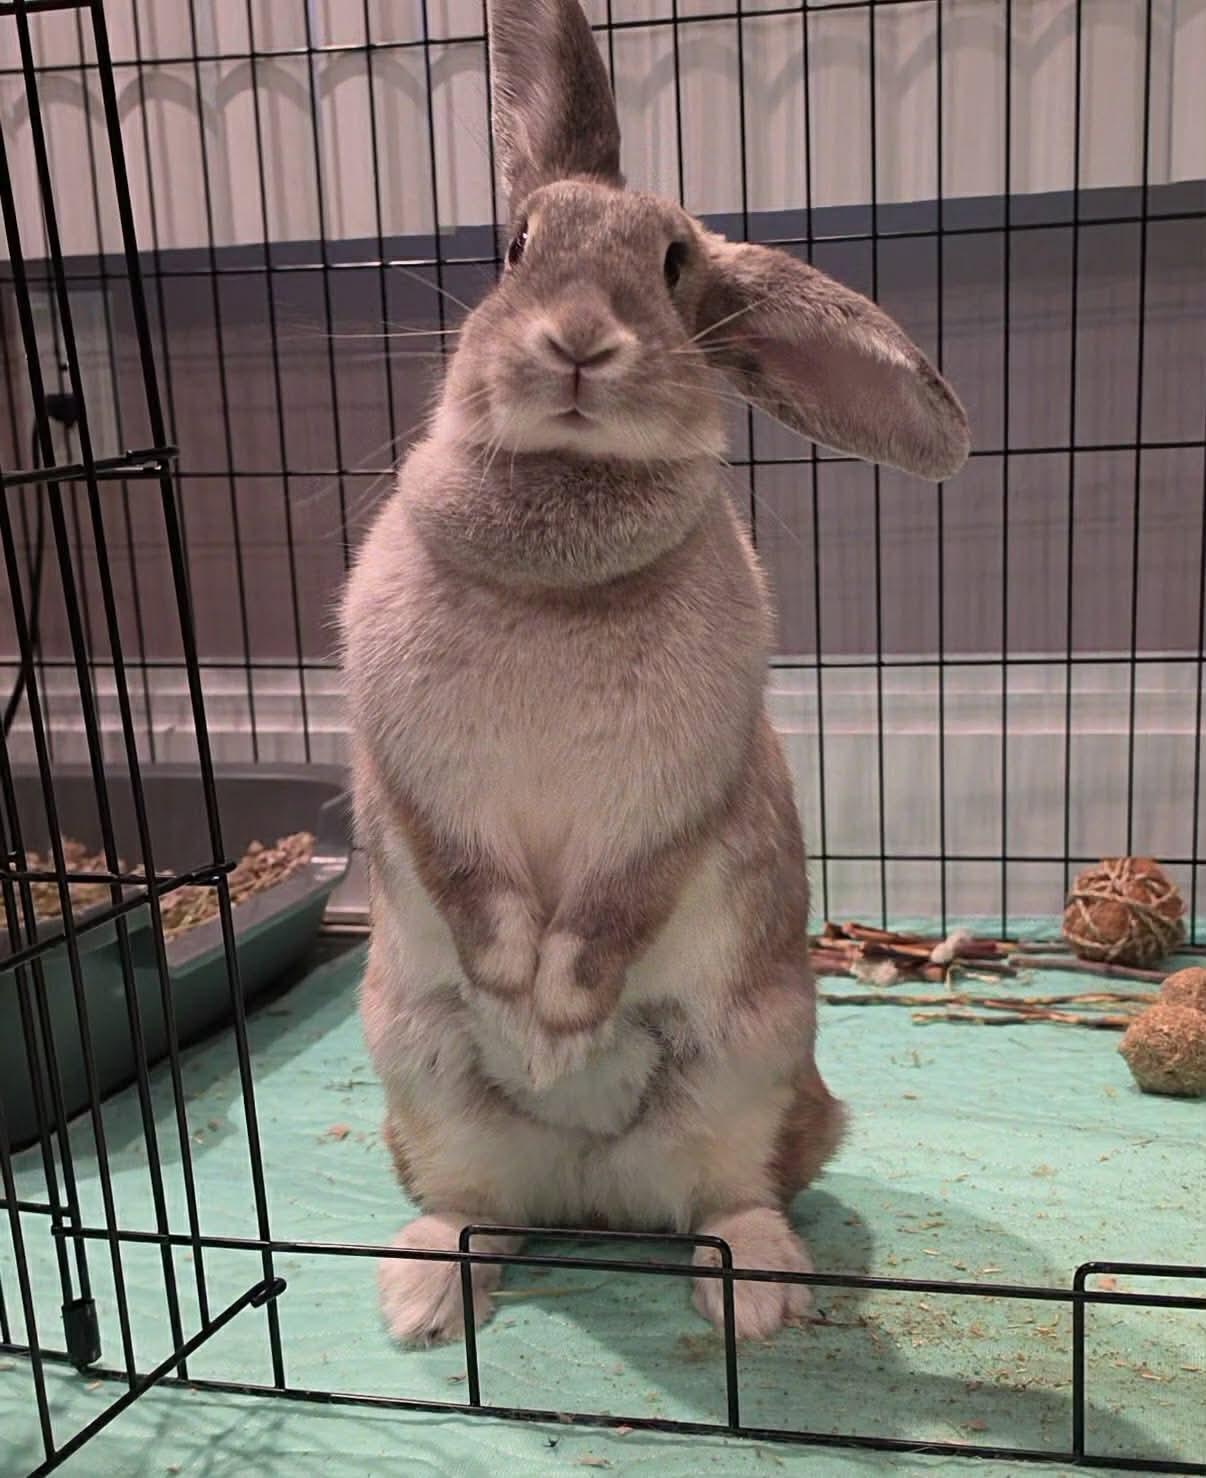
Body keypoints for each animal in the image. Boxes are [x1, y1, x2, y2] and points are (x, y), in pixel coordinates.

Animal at [342, 0, 969, 1347]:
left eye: (675, 264)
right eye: (515, 243)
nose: (580, 340)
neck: (561, 565)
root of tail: (592, 1189)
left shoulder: (678, 791)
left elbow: (610, 907)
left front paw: (562, 1009)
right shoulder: (413, 775)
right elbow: (472, 883)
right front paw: (516, 992)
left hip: (752, 1064)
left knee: (727, 1198)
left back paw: (763, 1298)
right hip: (423, 1080)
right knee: (478, 1208)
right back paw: (422, 1296)